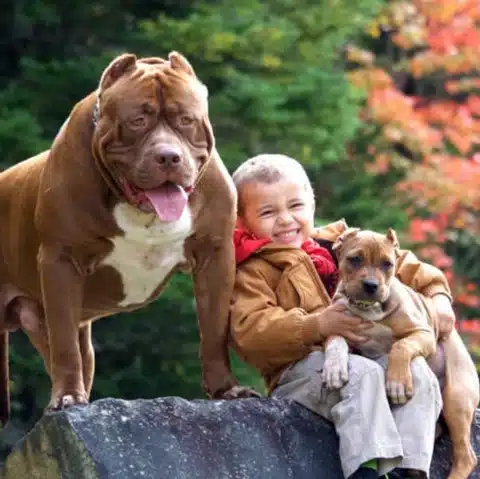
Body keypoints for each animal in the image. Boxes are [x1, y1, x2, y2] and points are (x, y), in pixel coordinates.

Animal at [0, 51, 256, 424]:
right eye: (137, 121)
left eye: (186, 120)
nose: (169, 156)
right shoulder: (61, 260)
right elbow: (64, 344)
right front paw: (66, 398)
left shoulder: (215, 256)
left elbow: (214, 328)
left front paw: (227, 389)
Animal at [322, 228, 480, 479]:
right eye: (355, 259)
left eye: (388, 264)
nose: (371, 285)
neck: (368, 309)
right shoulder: (336, 323)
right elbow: (336, 341)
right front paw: (334, 369)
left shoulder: (423, 333)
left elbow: (400, 346)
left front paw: (396, 384)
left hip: (457, 398)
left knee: (467, 456)